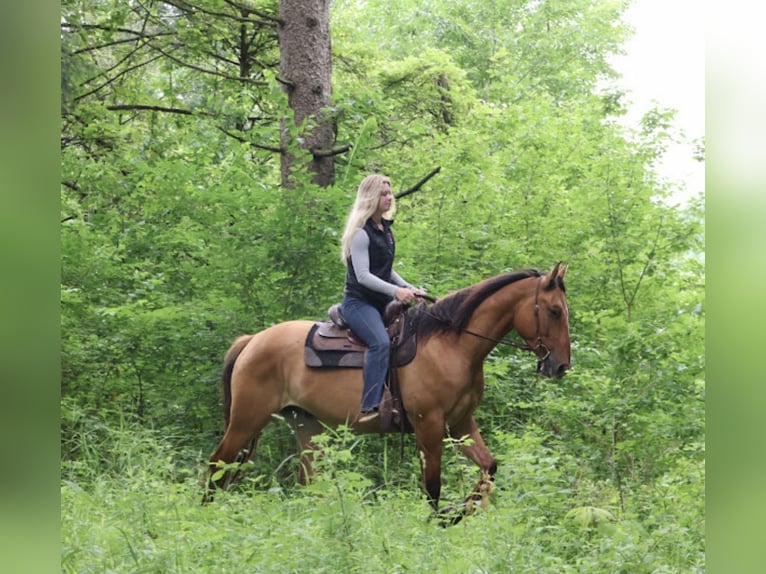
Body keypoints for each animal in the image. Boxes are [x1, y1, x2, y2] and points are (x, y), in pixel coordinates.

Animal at [204, 263, 571, 523]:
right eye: (554, 310)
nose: (561, 366)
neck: (452, 345)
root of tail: (252, 340)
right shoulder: (429, 426)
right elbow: (432, 487)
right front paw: (440, 521)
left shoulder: (460, 424)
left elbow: (488, 468)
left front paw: (462, 511)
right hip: (247, 419)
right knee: (216, 465)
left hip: (307, 427)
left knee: (306, 481)